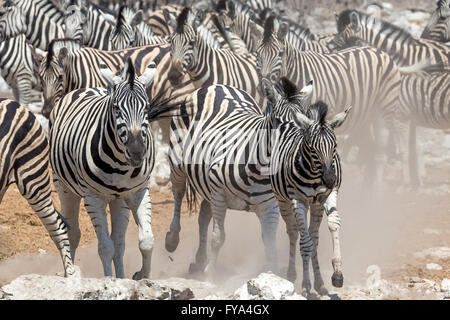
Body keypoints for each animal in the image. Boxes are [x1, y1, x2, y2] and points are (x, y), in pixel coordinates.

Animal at [49, 58, 163, 278]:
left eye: (146, 108)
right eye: (117, 109)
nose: (137, 152)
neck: (120, 164)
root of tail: (87, 87)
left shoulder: (137, 192)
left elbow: (146, 241)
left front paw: (141, 277)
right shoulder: (93, 198)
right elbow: (105, 247)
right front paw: (109, 281)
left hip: (119, 200)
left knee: (119, 243)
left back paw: (121, 276)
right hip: (64, 187)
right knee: (72, 232)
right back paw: (70, 273)